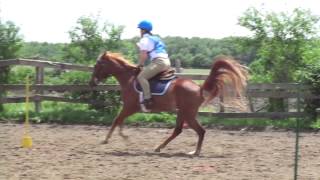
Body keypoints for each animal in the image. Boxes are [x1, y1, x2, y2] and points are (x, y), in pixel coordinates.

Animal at [89, 51, 249, 155]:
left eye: (97, 66)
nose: (91, 83)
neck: (128, 79)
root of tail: (199, 88)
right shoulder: (129, 108)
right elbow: (120, 121)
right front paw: (123, 136)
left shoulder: (129, 107)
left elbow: (116, 120)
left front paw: (106, 139)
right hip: (182, 112)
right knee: (178, 130)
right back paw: (159, 147)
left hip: (188, 114)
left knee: (200, 131)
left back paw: (195, 152)